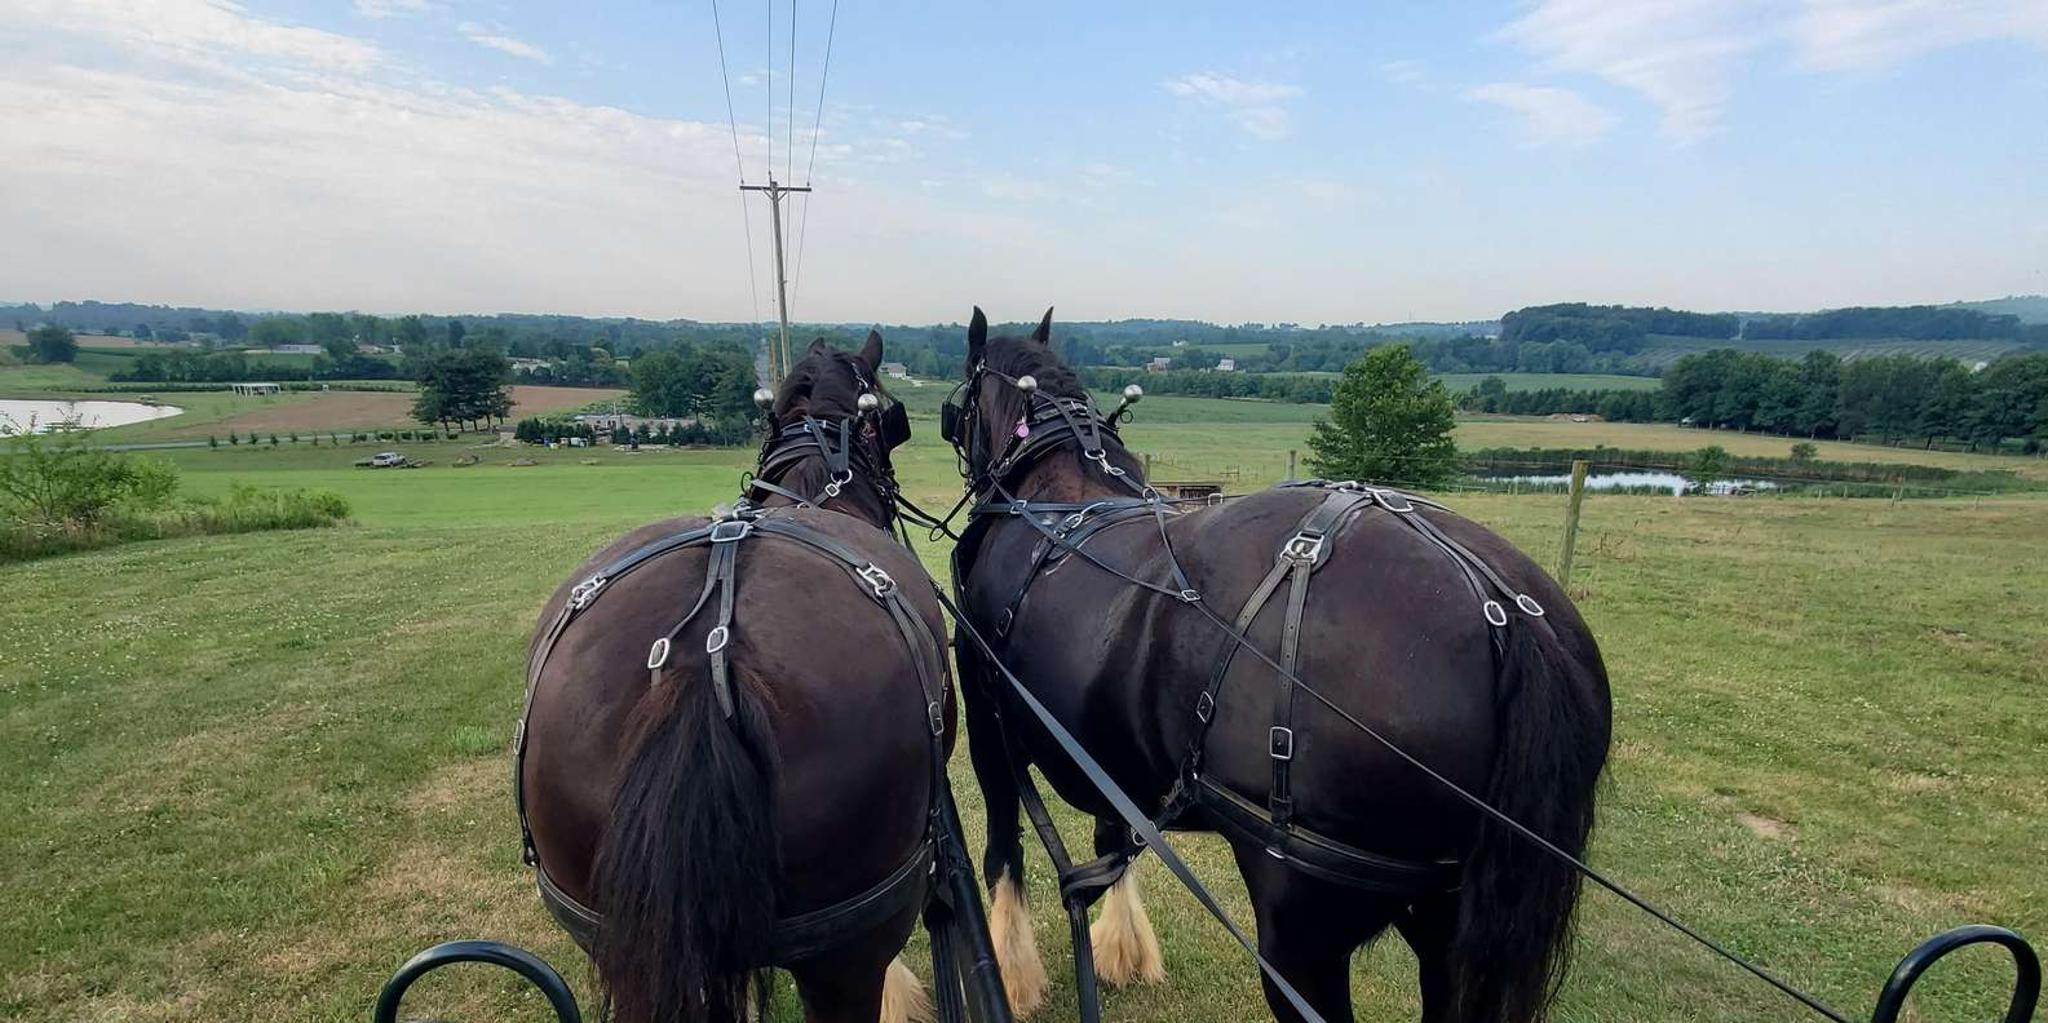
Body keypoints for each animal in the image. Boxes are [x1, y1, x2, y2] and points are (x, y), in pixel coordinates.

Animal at [943, 309, 1613, 1023]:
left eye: (961, 401)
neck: (1054, 491)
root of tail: (1498, 608)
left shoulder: (988, 723)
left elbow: (1003, 851)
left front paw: (1015, 973)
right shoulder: (1101, 743)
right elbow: (1111, 836)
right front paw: (1122, 949)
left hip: (1300, 932)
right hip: (1446, 921)